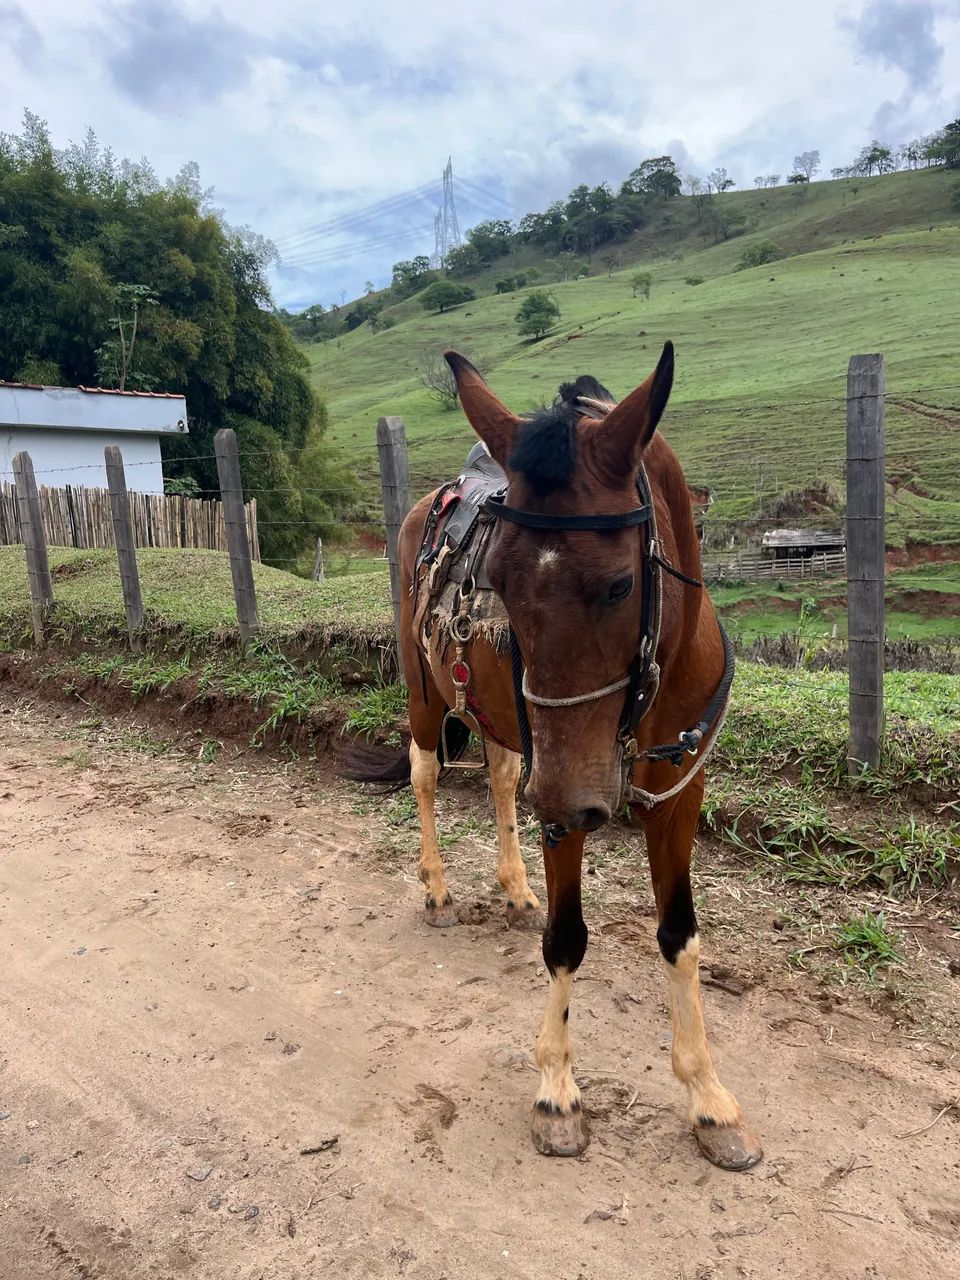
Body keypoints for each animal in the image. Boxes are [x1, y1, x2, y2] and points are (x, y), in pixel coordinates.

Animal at [349, 343, 762, 1171]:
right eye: (499, 583)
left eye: (621, 584)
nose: (570, 798)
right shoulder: (564, 802)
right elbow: (569, 939)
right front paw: (557, 1091)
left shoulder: (678, 792)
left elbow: (680, 936)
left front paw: (708, 1098)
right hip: (424, 690)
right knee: (425, 775)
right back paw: (437, 887)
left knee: (505, 778)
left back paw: (513, 885)